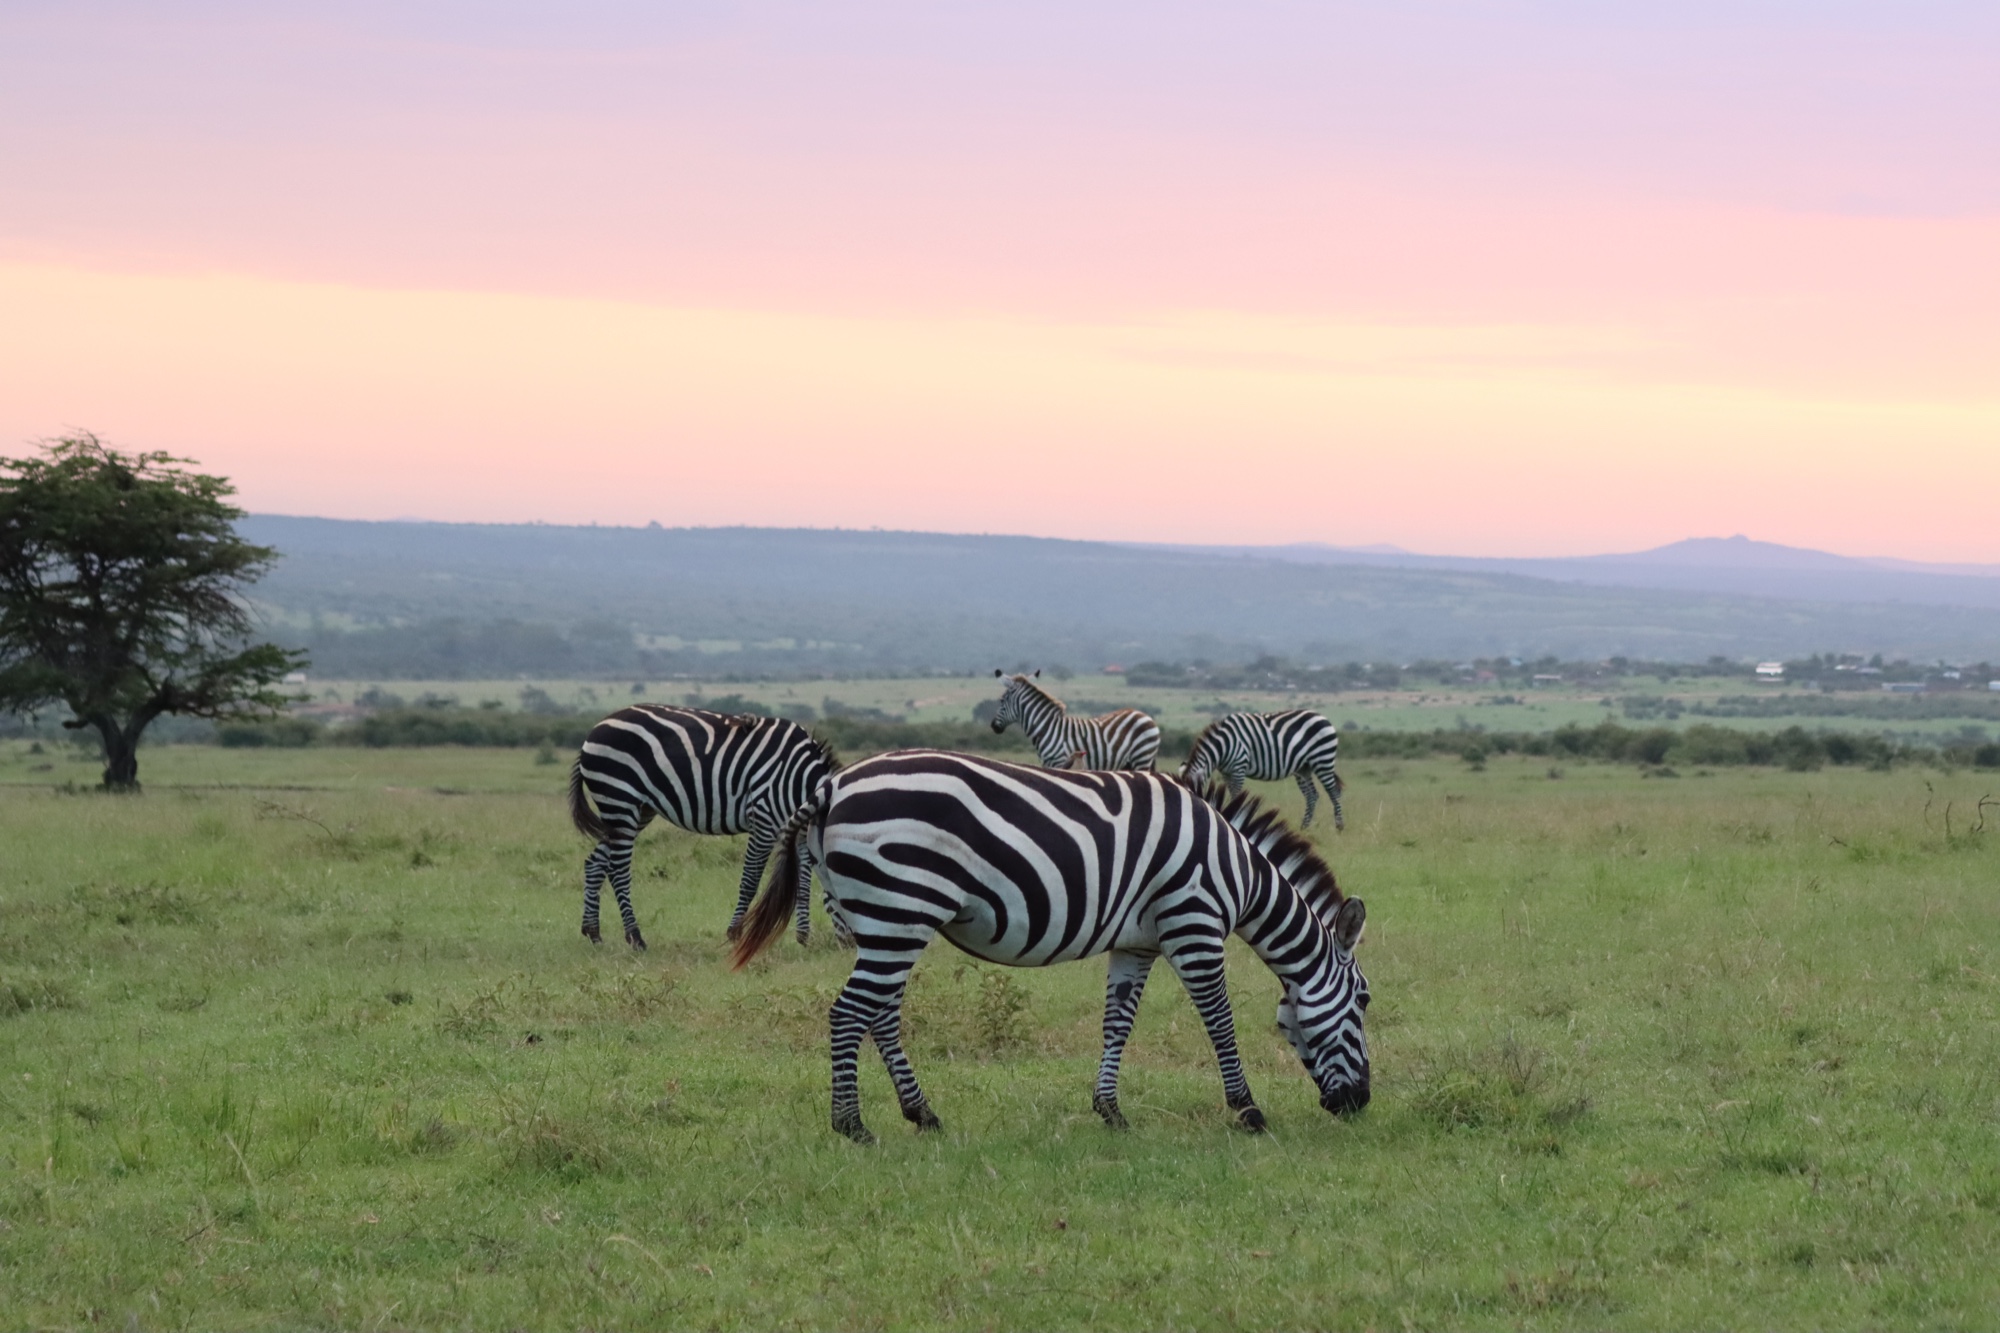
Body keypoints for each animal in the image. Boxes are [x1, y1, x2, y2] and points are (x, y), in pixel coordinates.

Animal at [566, 705, 837, 949]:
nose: (844, 945)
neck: (800, 780)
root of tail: (595, 729)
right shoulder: (764, 818)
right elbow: (750, 880)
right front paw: (734, 932)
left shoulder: (799, 831)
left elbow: (803, 884)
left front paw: (803, 937)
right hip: (620, 800)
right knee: (618, 869)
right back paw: (635, 937)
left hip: (637, 810)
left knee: (595, 862)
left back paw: (593, 932)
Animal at [731, 750, 1370, 1143]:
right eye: (1364, 1002)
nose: (1360, 1104)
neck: (1237, 872)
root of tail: (832, 784)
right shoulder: (1192, 923)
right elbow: (1220, 1019)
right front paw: (1248, 1110)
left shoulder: (1138, 943)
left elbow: (1118, 1022)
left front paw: (1110, 1110)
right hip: (901, 910)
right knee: (849, 1012)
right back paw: (852, 1125)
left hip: (885, 919)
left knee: (879, 1014)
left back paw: (923, 1113)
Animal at [988, 670, 1162, 771]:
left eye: (1001, 701)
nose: (993, 726)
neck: (1047, 728)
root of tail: (1144, 715)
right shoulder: (1047, 763)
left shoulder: (1060, 761)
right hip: (1129, 763)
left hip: (1142, 756)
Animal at [1180, 709, 1346, 831]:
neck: (1223, 745)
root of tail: (1323, 717)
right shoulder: (1227, 773)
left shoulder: (1239, 767)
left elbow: (1235, 795)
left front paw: (1232, 819)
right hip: (1303, 768)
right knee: (1312, 795)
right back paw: (1304, 827)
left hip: (1322, 759)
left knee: (1333, 792)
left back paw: (1339, 827)